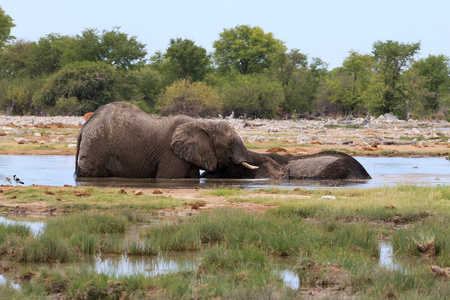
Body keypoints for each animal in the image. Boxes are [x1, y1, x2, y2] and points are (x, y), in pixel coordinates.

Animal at [75, 102, 258, 178]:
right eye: (230, 144)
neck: (202, 124)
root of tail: (85, 126)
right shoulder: (172, 154)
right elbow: (168, 178)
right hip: (96, 147)